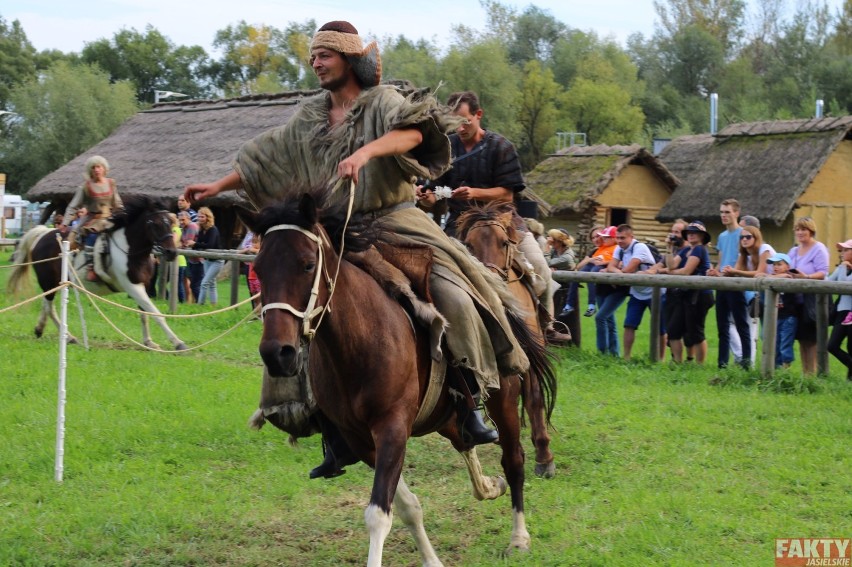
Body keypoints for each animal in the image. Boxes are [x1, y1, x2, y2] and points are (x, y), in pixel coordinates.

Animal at [9, 197, 186, 352]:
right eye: (155, 224)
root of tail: (42, 233)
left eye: (171, 223)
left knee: (47, 306)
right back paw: (67, 336)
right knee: (49, 306)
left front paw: (149, 342)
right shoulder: (133, 287)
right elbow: (155, 313)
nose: (171, 252)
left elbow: (145, 313)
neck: (129, 249)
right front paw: (178, 343)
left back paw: (42, 329)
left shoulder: (145, 286)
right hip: (48, 281)